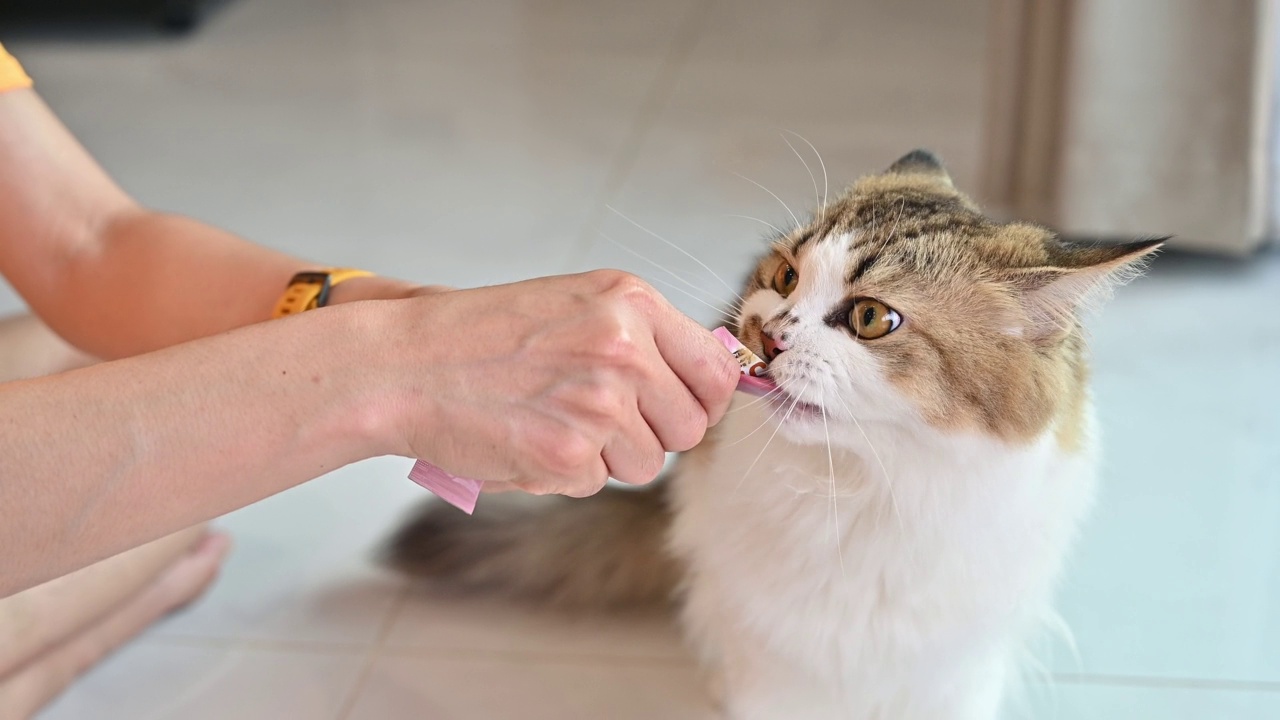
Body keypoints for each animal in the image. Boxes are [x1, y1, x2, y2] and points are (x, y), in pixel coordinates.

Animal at [384, 148, 1167, 712]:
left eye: (872, 319)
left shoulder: (951, 676)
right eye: (786, 277)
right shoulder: (772, 669)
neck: (856, 497)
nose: (765, 333)